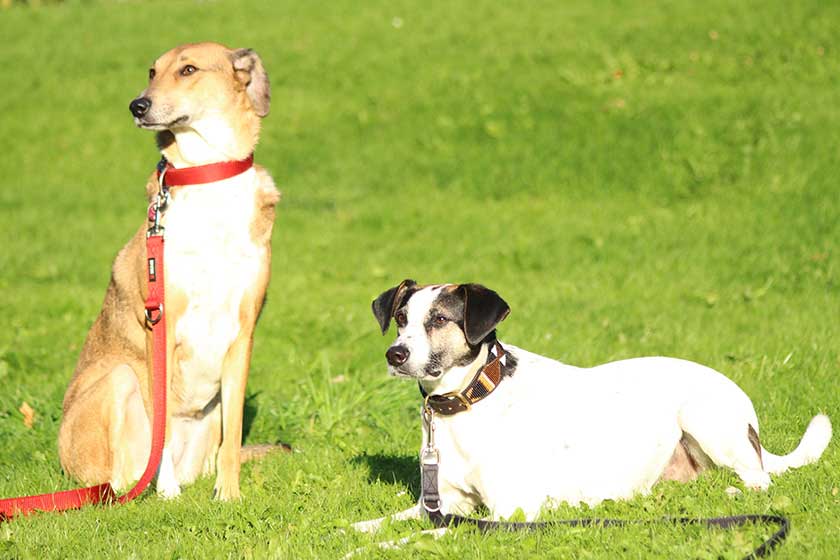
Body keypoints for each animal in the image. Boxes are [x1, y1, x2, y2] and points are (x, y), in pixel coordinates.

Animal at [58, 42, 280, 501]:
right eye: (152, 71)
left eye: (188, 70)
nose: (136, 105)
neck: (208, 175)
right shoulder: (161, 325)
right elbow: (159, 432)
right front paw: (169, 493)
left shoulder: (243, 335)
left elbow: (234, 437)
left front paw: (229, 495)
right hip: (118, 380)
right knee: (119, 477)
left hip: (209, 412)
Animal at [353, 280, 832, 531]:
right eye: (401, 319)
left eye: (439, 320)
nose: (394, 354)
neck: (471, 399)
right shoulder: (440, 506)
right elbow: (380, 525)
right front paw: (350, 534)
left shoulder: (510, 513)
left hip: (706, 418)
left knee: (760, 478)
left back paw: (735, 491)